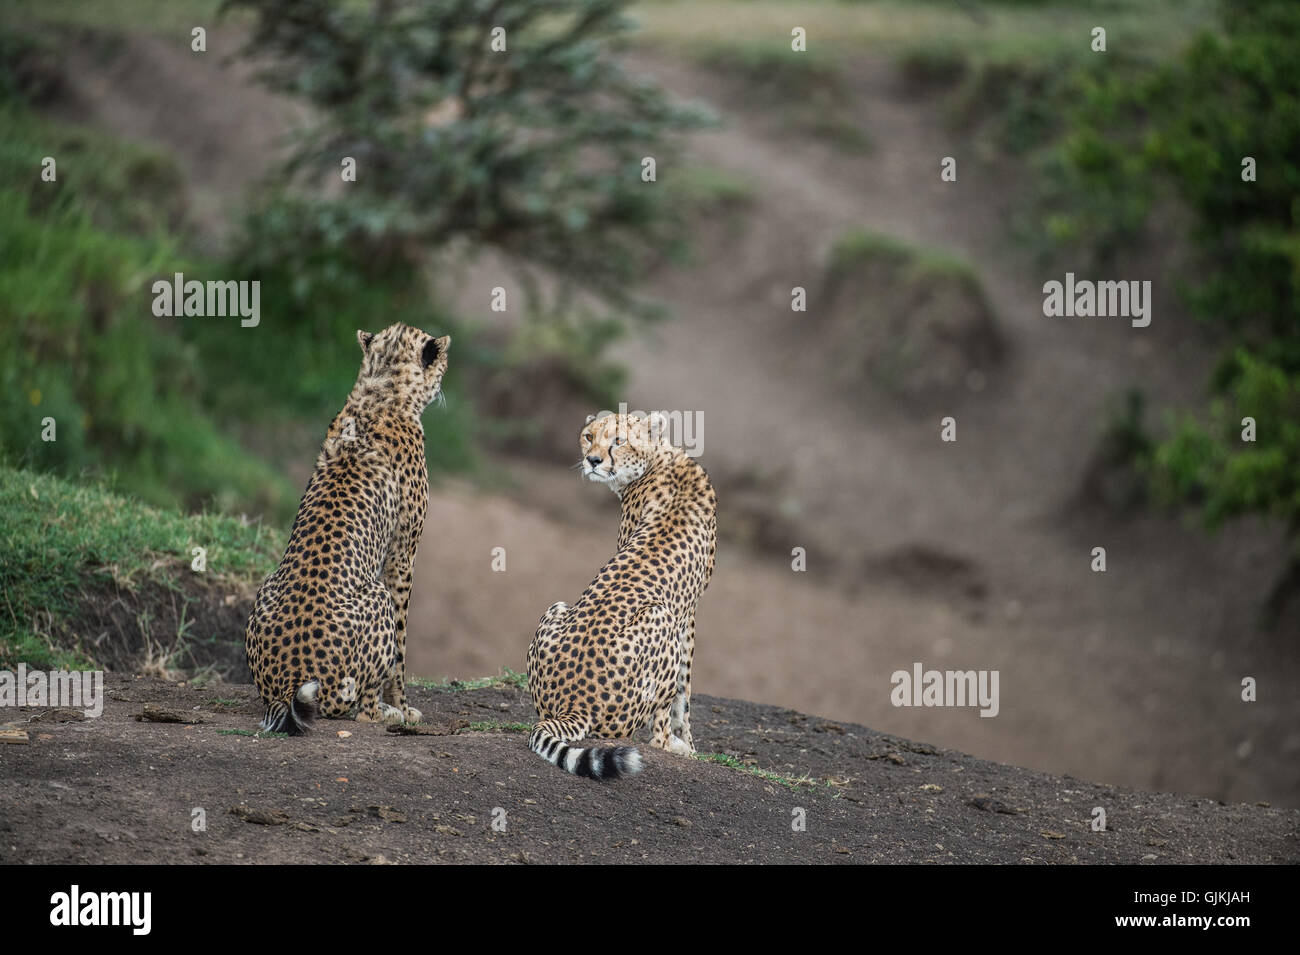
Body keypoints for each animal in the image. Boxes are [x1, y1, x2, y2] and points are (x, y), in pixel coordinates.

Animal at [244, 324, 452, 738]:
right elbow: (402, 646)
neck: (381, 390)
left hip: (265, 587)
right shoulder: (402, 557)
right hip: (376, 597)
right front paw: (404, 705)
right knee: (362, 711)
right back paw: (385, 711)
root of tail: (287, 686)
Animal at [522, 407, 717, 779]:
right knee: (655, 733)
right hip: (660, 616)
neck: (662, 458)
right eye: (589, 436)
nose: (593, 460)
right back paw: (672, 745)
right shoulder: (688, 617)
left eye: (619, 441)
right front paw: (687, 745)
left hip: (557, 608)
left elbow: (684, 694)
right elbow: (683, 692)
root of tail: (573, 703)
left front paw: (691, 744)